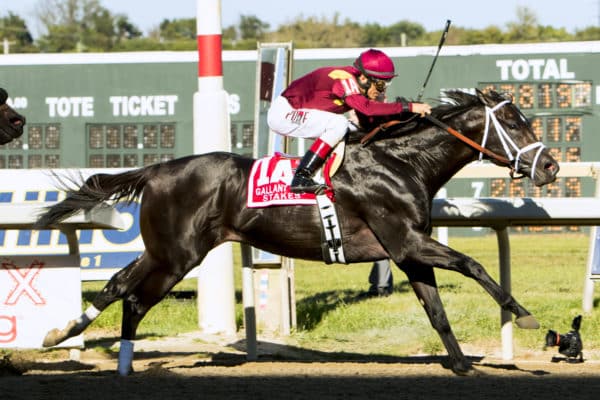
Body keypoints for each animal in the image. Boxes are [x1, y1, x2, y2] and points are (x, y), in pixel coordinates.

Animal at [36, 90, 556, 376]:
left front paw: (463, 362)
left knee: (116, 285)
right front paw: (528, 317)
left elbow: (437, 311)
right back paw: (117, 360)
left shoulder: (407, 251)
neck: (401, 162)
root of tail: (157, 169)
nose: (550, 166)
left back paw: (64, 335)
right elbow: (474, 263)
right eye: (513, 122)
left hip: (165, 250)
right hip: (177, 257)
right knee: (135, 299)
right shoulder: (405, 240)